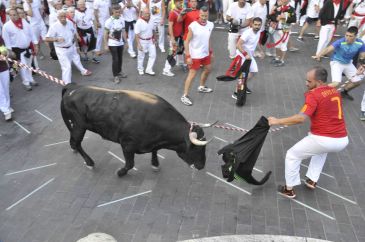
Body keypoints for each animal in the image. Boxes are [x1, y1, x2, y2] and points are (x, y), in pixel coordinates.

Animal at [60, 83, 212, 176]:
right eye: (196, 148)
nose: (201, 166)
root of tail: (73, 87)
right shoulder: (127, 145)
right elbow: (130, 164)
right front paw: (120, 172)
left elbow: (155, 151)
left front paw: (155, 164)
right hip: (79, 126)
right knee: (77, 143)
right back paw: (89, 162)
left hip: (73, 125)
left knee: (73, 140)